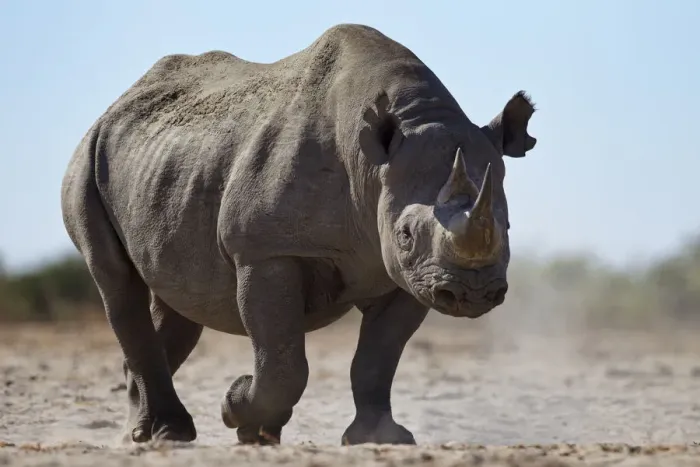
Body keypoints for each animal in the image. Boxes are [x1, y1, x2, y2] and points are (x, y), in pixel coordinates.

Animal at [60, 23, 537, 446]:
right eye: (404, 234)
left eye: (508, 226)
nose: (472, 293)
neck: (373, 165)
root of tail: (115, 105)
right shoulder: (265, 249)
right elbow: (283, 362)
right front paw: (236, 405)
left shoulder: (409, 275)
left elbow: (377, 360)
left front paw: (380, 438)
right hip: (86, 160)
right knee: (117, 282)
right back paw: (162, 434)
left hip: (162, 167)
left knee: (178, 299)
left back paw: (146, 433)